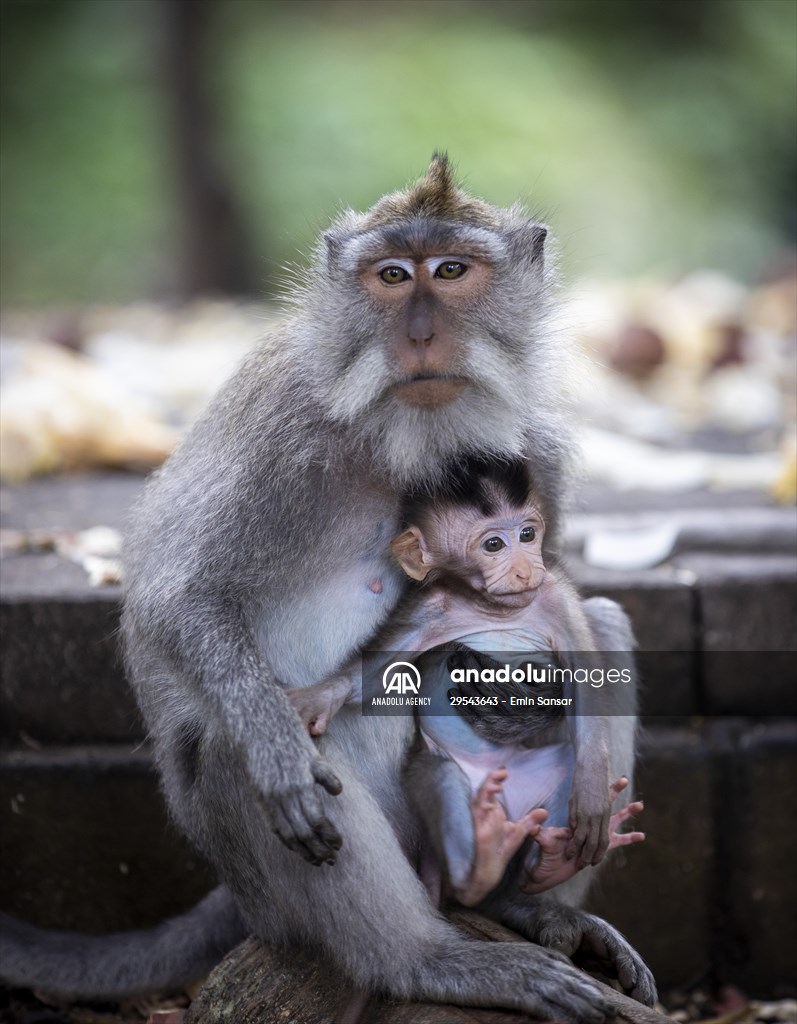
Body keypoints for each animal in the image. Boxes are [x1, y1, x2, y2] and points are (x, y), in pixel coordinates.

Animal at [287, 458, 646, 910]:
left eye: (527, 535)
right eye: (493, 545)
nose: (526, 568)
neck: (494, 610)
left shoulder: (556, 598)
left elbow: (587, 681)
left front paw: (594, 794)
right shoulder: (430, 607)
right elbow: (373, 672)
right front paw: (320, 697)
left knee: (564, 763)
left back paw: (551, 863)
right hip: (438, 772)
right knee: (444, 787)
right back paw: (481, 865)